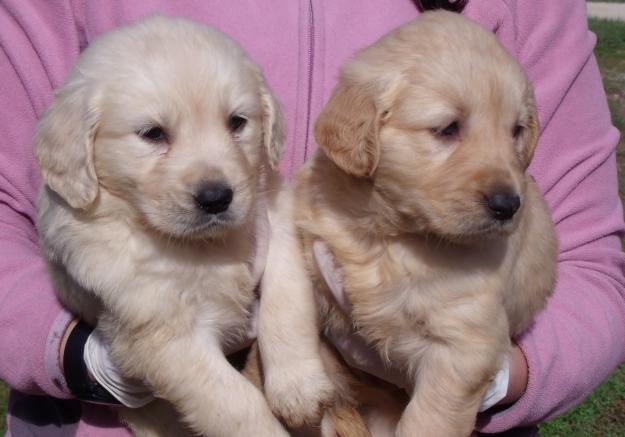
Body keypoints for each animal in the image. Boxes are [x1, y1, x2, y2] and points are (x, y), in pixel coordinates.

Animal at [37, 15, 292, 436]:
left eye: (237, 122)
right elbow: (239, 404)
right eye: (153, 133)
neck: (203, 246)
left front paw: (300, 385)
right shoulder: (164, 336)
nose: (216, 198)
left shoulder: (277, 217)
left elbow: (286, 300)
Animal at [266, 10, 556, 436]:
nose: (508, 205)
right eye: (447, 128)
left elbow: (429, 420)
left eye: (516, 131)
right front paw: (295, 388)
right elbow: (286, 308)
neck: (389, 234)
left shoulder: (462, 347)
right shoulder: (309, 245)